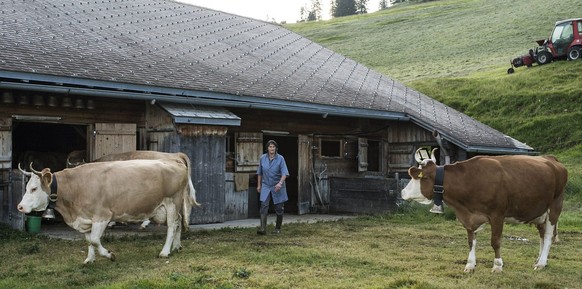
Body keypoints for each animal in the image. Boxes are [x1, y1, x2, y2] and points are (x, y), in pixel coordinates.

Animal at [404, 150, 568, 274]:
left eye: (416, 177)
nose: (403, 192)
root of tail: (551, 159)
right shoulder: (469, 217)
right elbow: (471, 241)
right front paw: (470, 265)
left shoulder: (497, 215)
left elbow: (495, 242)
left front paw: (497, 266)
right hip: (540, 211)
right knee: (542, 234)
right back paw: (540, 260)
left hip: (555, 206)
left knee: (548, 236)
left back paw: (541, 263)